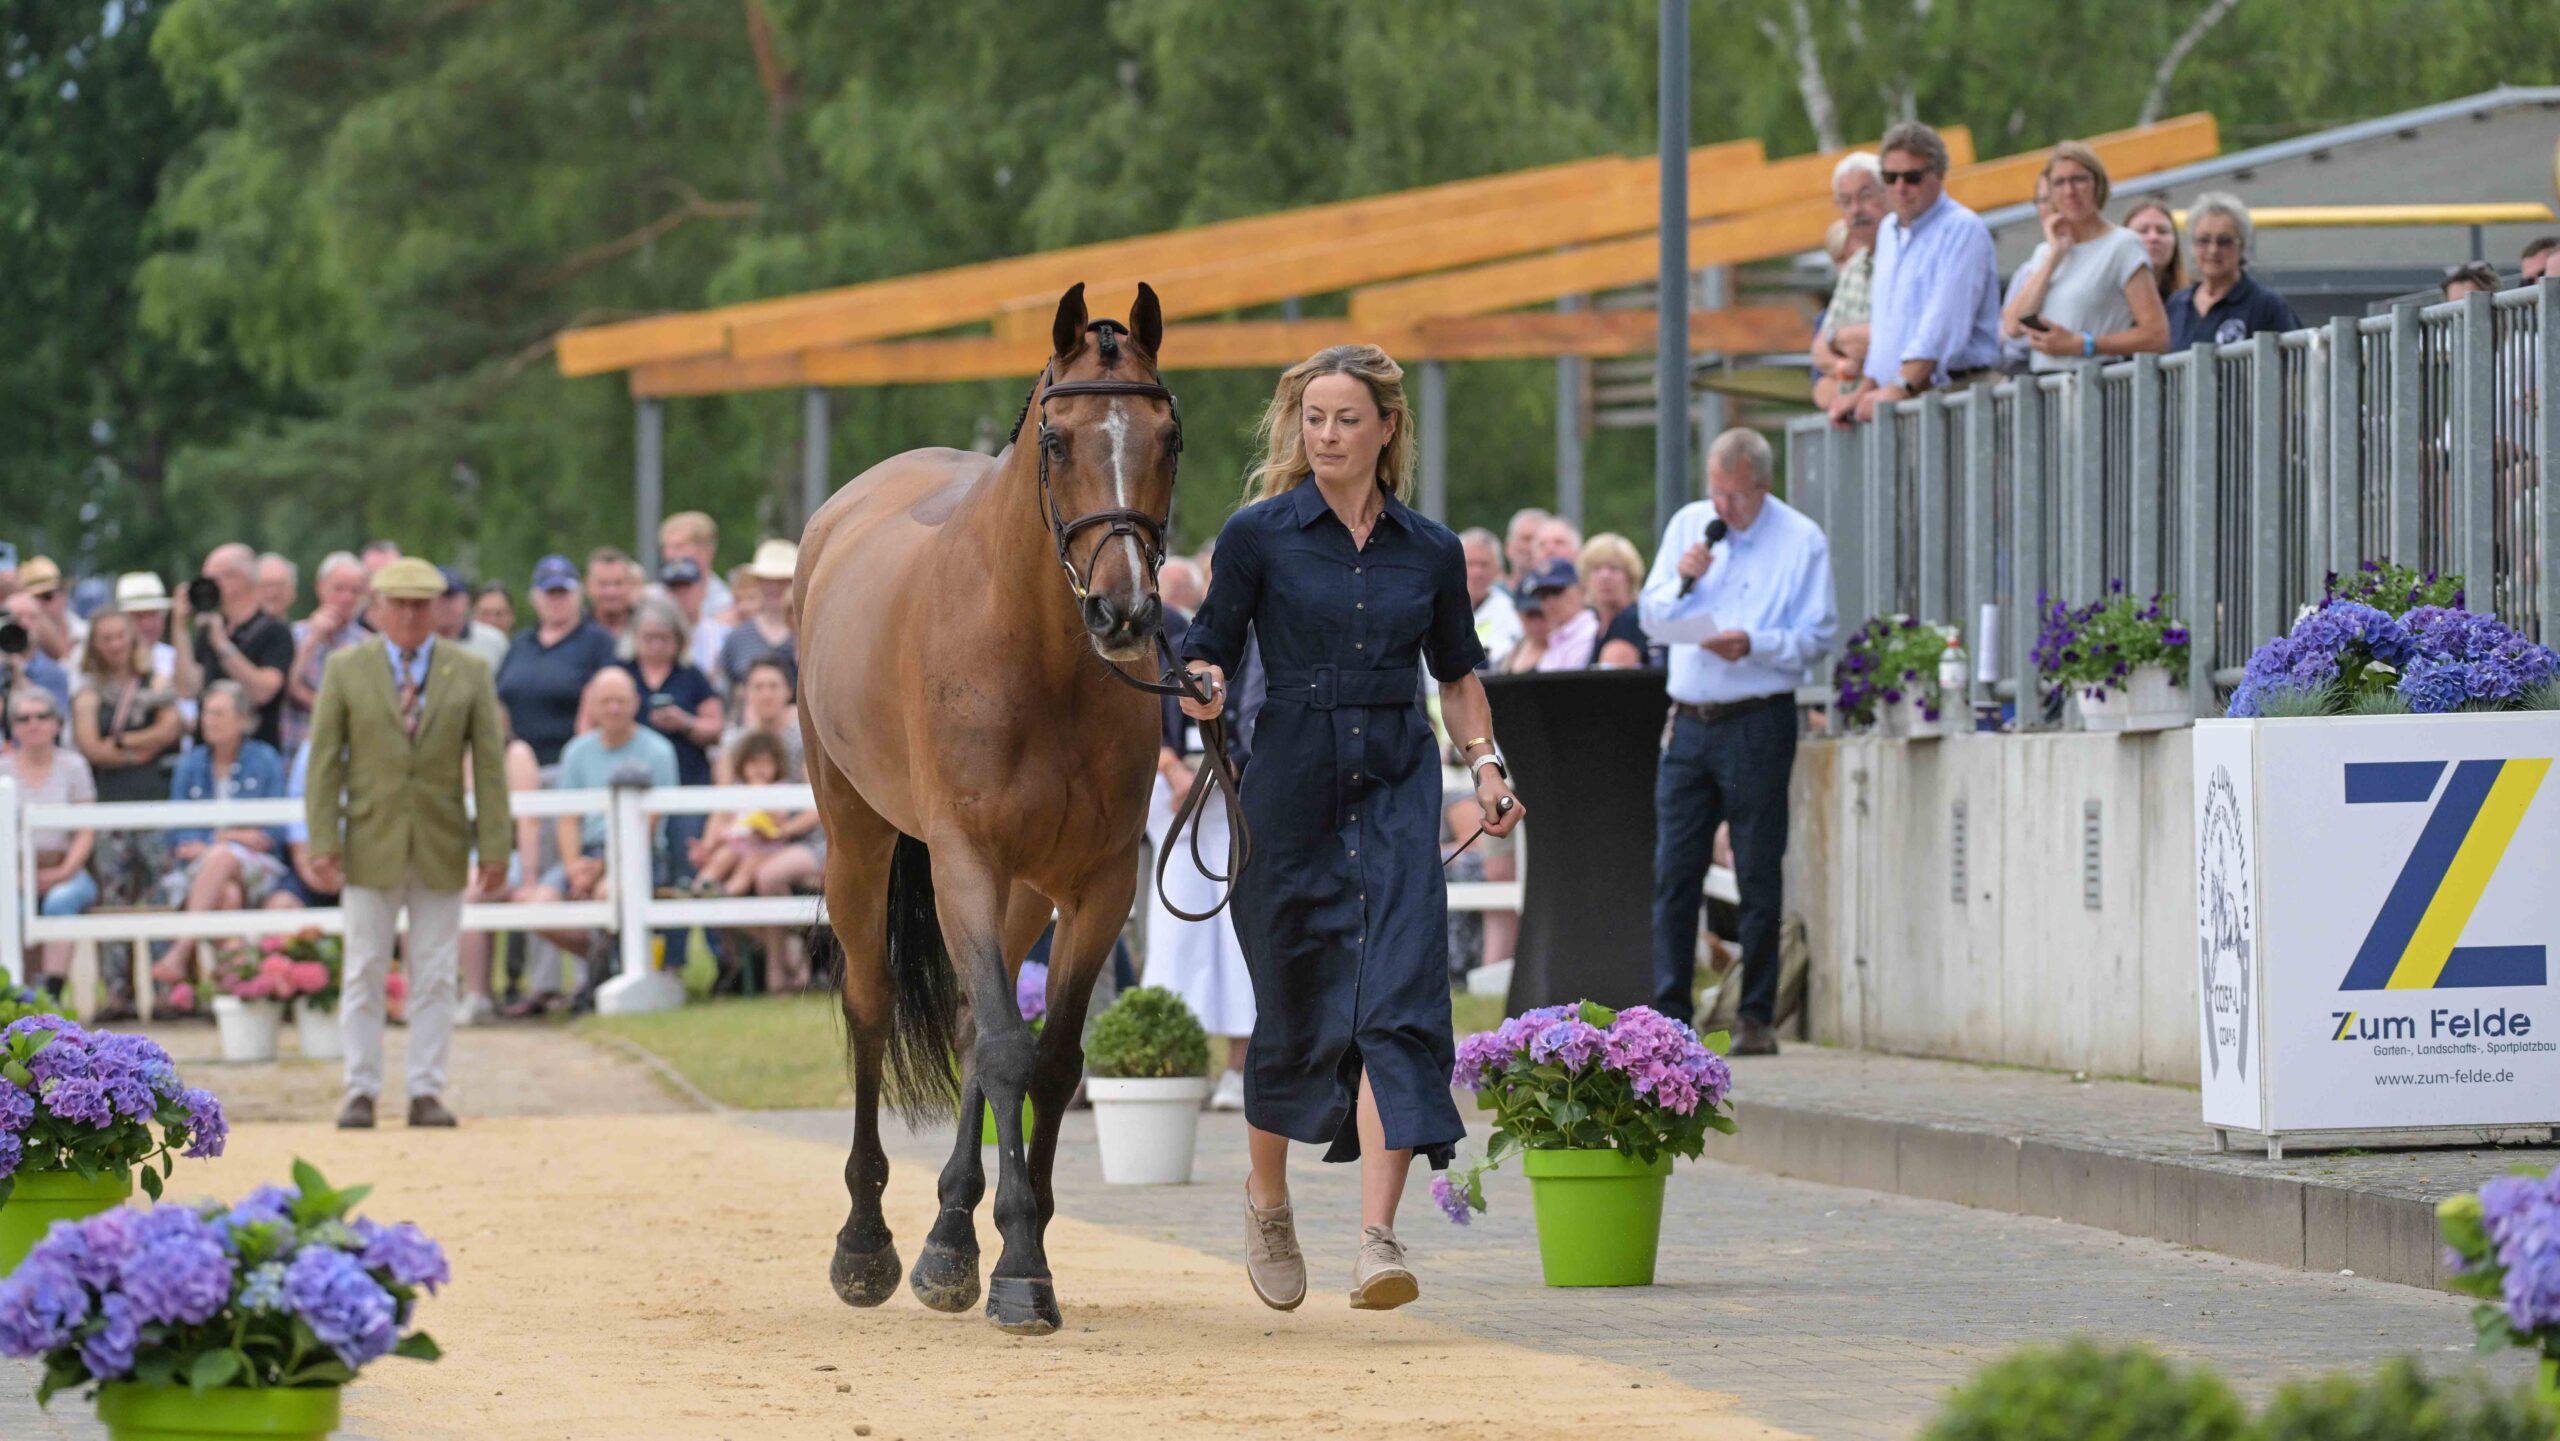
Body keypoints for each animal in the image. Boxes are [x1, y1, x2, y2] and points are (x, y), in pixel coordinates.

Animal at [794, 282, 1185, 1336]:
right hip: (860, 836)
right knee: (873, 1004)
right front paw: (1015, 1261)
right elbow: (1010, 1049)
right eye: (1055, 438)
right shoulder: (964, 858)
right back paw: (866, 1243)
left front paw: (1018, 1244)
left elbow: (1047, 1057)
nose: (1125, 613)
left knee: (975, 1024)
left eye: (1168, 435)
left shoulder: (1097, 882)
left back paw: (949, 1238)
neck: (1040, 658)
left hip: (1024, 888)